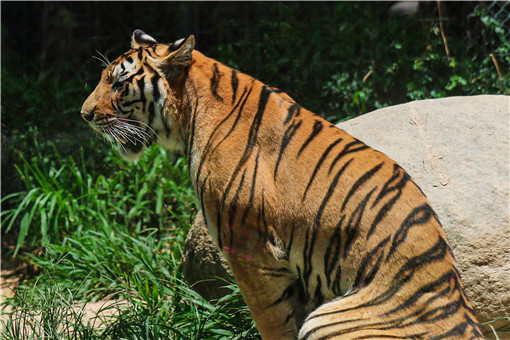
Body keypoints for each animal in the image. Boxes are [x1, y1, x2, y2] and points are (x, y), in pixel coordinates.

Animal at [79, 30, 482, 338]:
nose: (84, 115)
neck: (191, 112)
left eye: (119, 84)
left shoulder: (249, 250)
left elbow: (272, 321)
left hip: (328, 321)